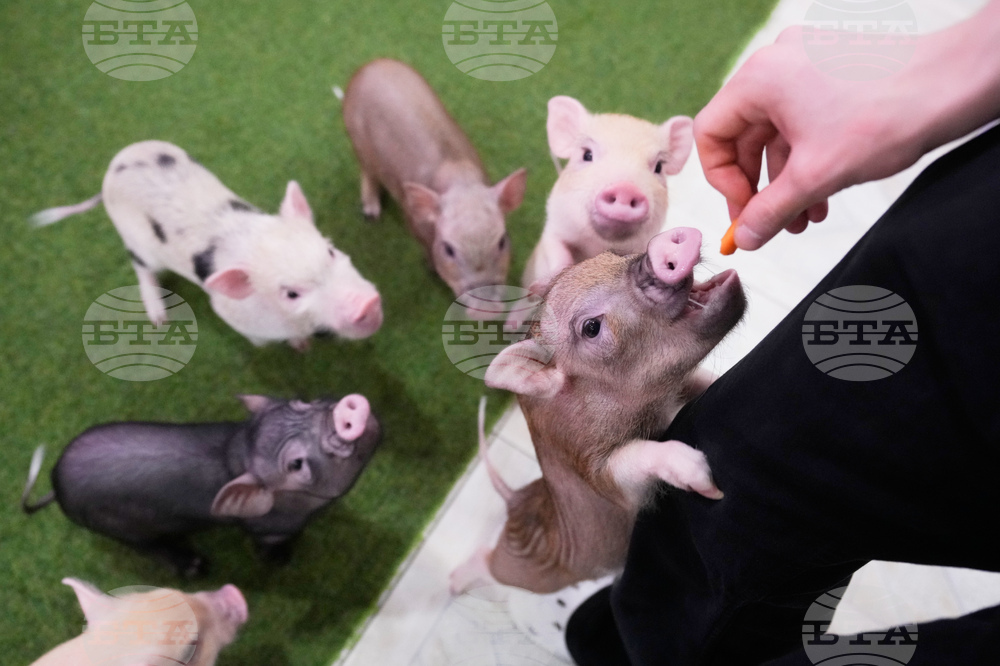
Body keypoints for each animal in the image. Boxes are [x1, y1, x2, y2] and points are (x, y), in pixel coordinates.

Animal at [22, 394, 381, 577]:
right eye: (296, 464)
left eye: (302, 402)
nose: (347, 409)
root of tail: (55, 485)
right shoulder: (267, 529)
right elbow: (270, 545)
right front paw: (282, 561)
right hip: (116, 528)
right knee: (152, 547)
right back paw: (197, 567)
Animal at [31, 140, 383, 350]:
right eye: (291, 294)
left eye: (331, 251)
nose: (365, 303)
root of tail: (110, 173)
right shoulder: (231, 313)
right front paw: (301, 349)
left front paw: (303, 347)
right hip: (135, 240)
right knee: (140, 266)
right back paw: (159, 320)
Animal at [341, 59, 527, 301]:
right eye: (448, 249)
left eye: (503, 241)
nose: (485, 303)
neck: (461, 183)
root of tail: (370, 64)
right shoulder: (412, 219)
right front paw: (431, 270)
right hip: (356, 140)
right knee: (367, 172)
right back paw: (371, 214)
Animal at [451, 228, 745, 594]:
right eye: (591, 328)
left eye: (614, 256)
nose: (666, 244)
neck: (656, 408)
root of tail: (516, 503)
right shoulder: (601, 475)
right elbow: (631, 459)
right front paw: (708, 483)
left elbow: (704, 381)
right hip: (521, 574)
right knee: (487, 563)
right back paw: (453, 585)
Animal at [522, 96, 694, 292]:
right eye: (587, 154)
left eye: (658, 167)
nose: (626, 189)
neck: (597, 247)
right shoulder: (553, 228)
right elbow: (558, 253)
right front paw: (538, 286)